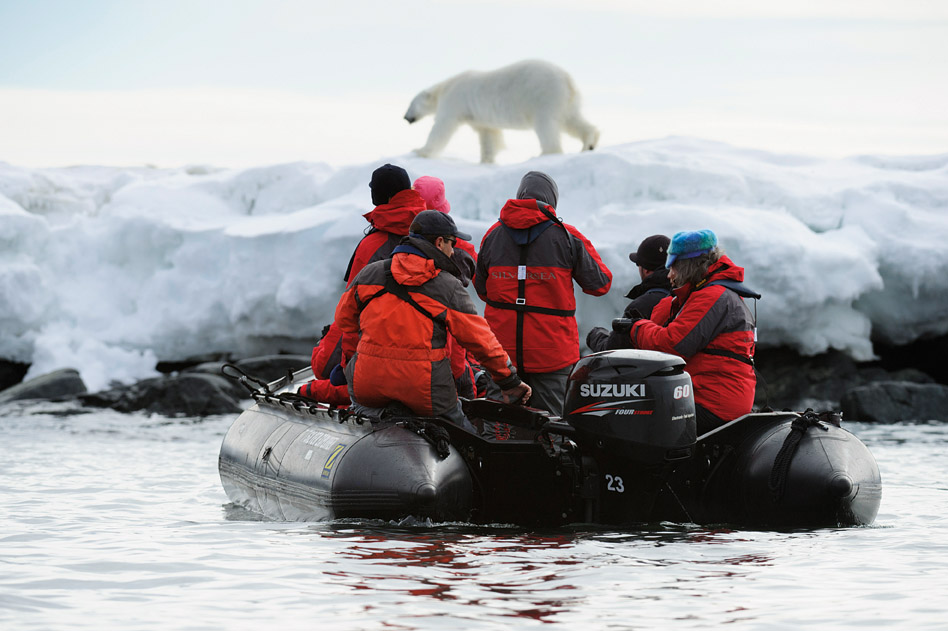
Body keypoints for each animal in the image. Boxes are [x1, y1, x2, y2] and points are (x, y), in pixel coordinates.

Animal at [402, 59, 596, 164]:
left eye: (410, 104)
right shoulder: (478, 118)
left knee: (547, 125)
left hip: (543, 96)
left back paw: (546, 152)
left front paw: (419, 151)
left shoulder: (453, 102)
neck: (445, 87)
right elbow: (488, 134)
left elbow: (442, 128)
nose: (405, 117)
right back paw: (589, 144)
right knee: (572, 120)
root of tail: (567, 79)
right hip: (566, 101)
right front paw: (486, 160)